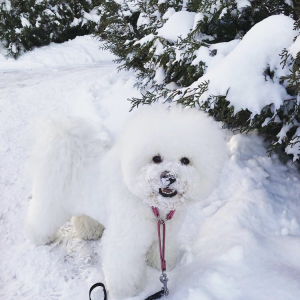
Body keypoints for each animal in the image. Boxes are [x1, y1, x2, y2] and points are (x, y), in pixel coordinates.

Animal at [25, 105, 226, 298]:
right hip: (51, 201)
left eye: (185, 161)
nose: (168, 176)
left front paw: (161, 264)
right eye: (156, 158)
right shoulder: (125, 240)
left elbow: (161, 251)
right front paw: (127, 291)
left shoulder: (165, 233)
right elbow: (123, 268)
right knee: (41, 219)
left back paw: (90, 230)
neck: (152, 205)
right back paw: (40, 238)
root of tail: (67, 145)